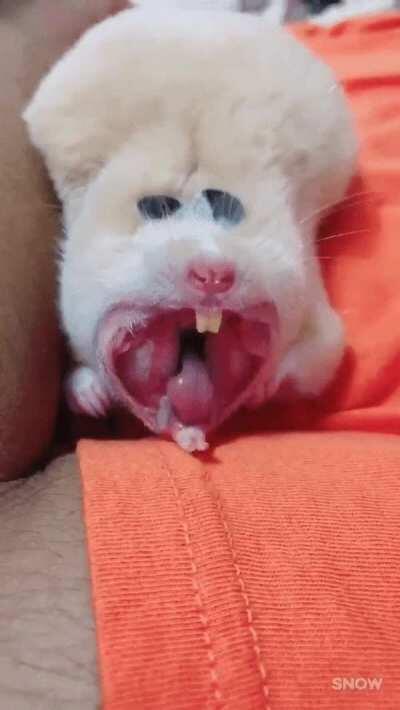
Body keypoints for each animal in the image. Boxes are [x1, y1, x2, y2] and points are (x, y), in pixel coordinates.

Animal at [23, 7, 357, 452]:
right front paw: (93, 397)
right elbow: (78, 363)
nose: (213, 275)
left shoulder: (312, 302)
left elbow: (317, 355)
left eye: (229, 210)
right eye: (156, 208)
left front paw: (265, 387)